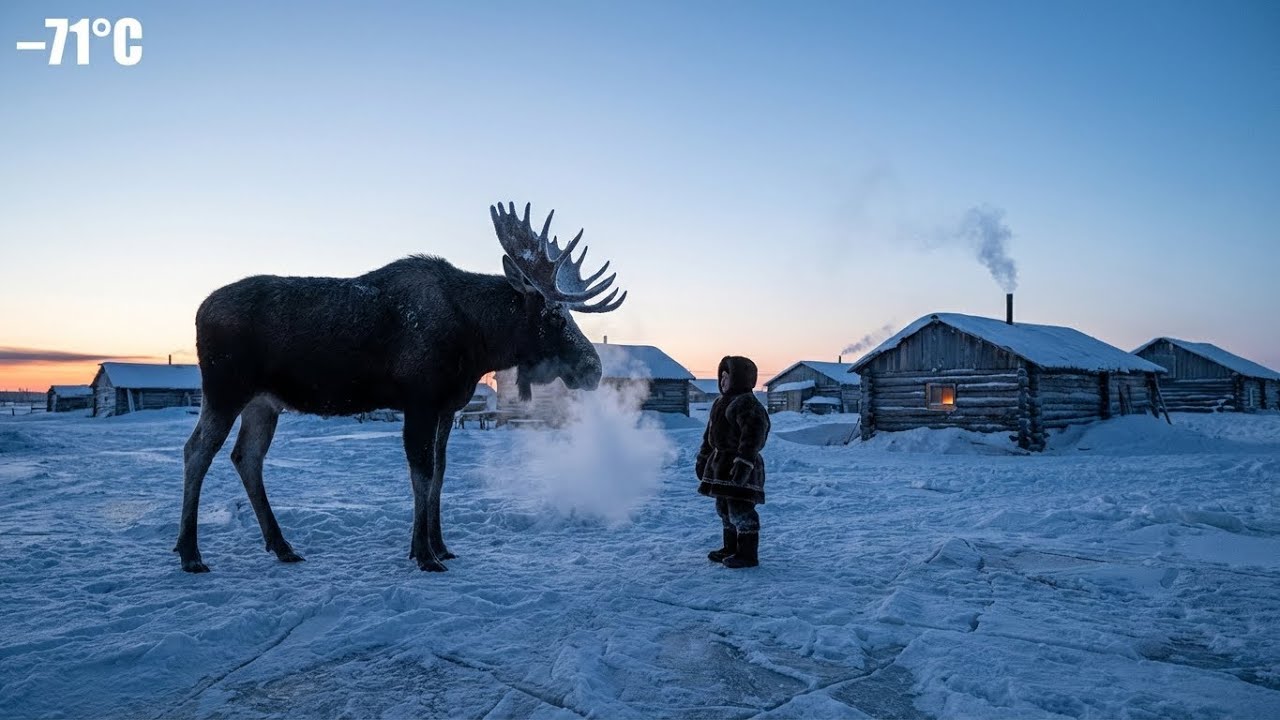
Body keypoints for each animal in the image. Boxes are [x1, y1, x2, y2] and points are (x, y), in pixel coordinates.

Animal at [174, 202, 625, 573]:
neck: (478, 343)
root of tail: (198, 311)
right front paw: (423, 554)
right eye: (554, 316)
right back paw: (190, 552)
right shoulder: (420, 401)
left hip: (264, 401)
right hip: (225, 389)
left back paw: (281, 545)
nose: (594, 369)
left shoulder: (448, 406)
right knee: (197, 450)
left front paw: (440, 546)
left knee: (246, 457)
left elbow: (440, 473)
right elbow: (421, 473)